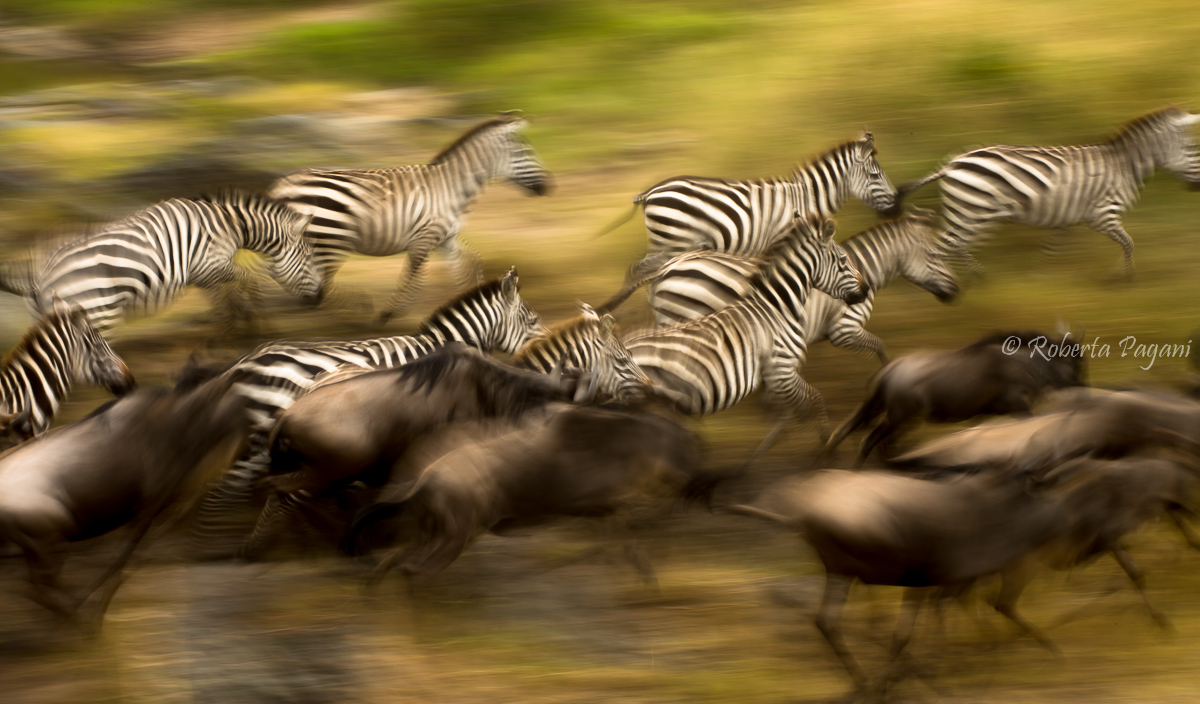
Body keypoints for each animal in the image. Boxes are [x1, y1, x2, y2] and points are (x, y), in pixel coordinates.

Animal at [0, 190, 321, 334]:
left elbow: (221, 294)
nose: (320, 299)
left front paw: (225, 319)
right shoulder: (211, 263)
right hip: (96, 314)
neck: (232, 225)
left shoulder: (203, 273)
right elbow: (248, 278)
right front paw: (255, 319)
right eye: (308, 256)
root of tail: (38, 278)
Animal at [269, 112, 553, 323]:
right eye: (525, 153)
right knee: (309, 278)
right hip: (332, 239)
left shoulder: (446, 239)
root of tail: (284, 184)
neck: (453, 188)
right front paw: (389, 313)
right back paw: (351, 306)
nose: (549, 187)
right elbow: (414, 280)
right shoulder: (423, 239)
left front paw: (474, 303)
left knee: (289, 273)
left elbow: (469, 266)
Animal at [596, 131, 897, 285]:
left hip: (667, 245)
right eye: (875, 176)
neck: (806, 198)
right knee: (638, 271)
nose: (895, 208)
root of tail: (650, 192)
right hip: (671, 244)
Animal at [622, 214, 867, 463]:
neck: (777, 307)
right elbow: (815, 399)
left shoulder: (779, 375)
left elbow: (791, 409)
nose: (865, 289)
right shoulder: (782, 371)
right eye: (844, 259)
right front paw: (827, 448)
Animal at [891, 106, 1200, 278]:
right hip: (975, 211)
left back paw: (974, 277)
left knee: (951, 246)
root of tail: (951, 164)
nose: (1196, 185)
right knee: (945, 247)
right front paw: (1124, 277)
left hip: (965, 211)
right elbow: (1129, 243)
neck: (1125, 166)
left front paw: (1039, 277)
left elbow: (1051, 250)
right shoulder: (1104, 215)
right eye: (1190, 148)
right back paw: (963, 282)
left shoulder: (1067, 218)